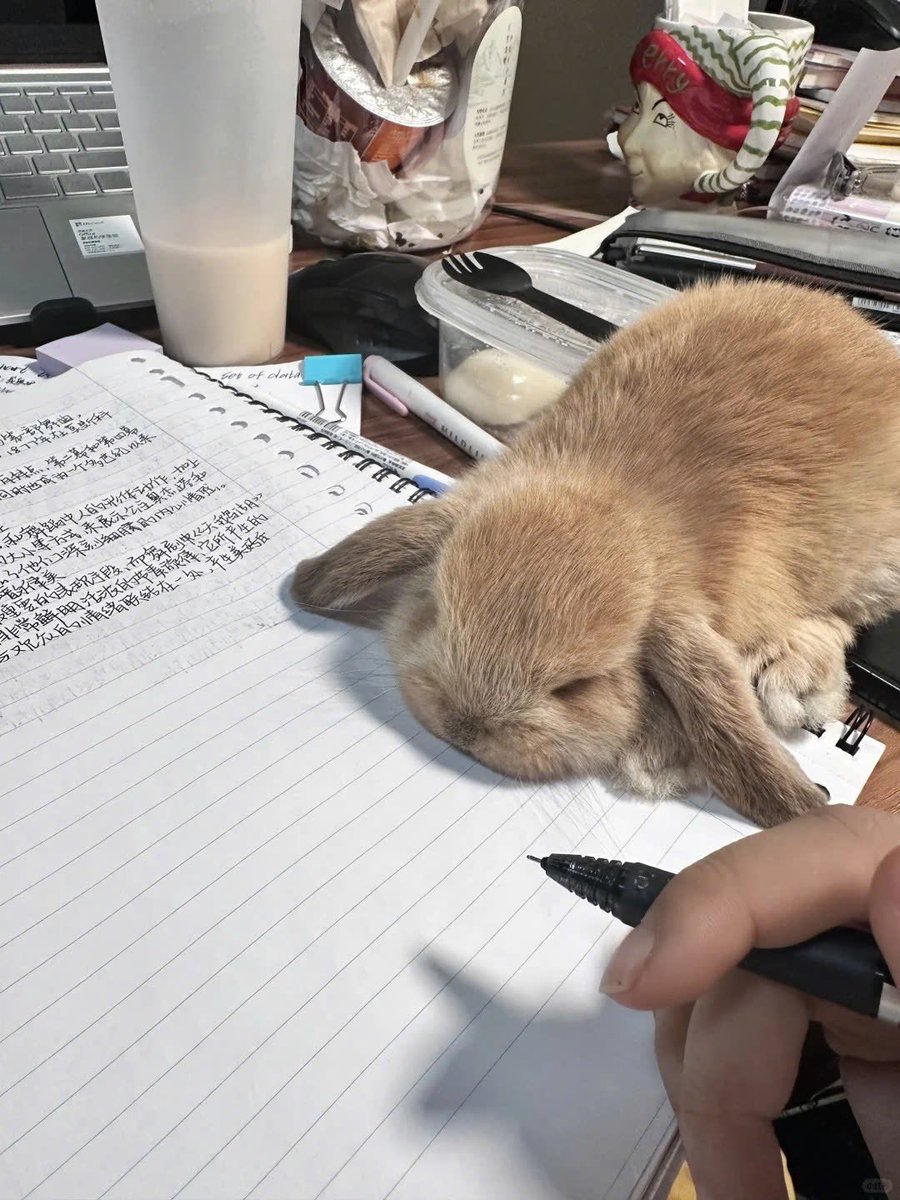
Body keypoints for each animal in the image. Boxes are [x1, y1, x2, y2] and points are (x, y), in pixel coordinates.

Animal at [292, 279, 900, 828]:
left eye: (576, 687)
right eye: (436, 612)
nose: (465, 728)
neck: (610, 498)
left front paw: (658, 759)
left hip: (871, 567)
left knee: (841, 621)